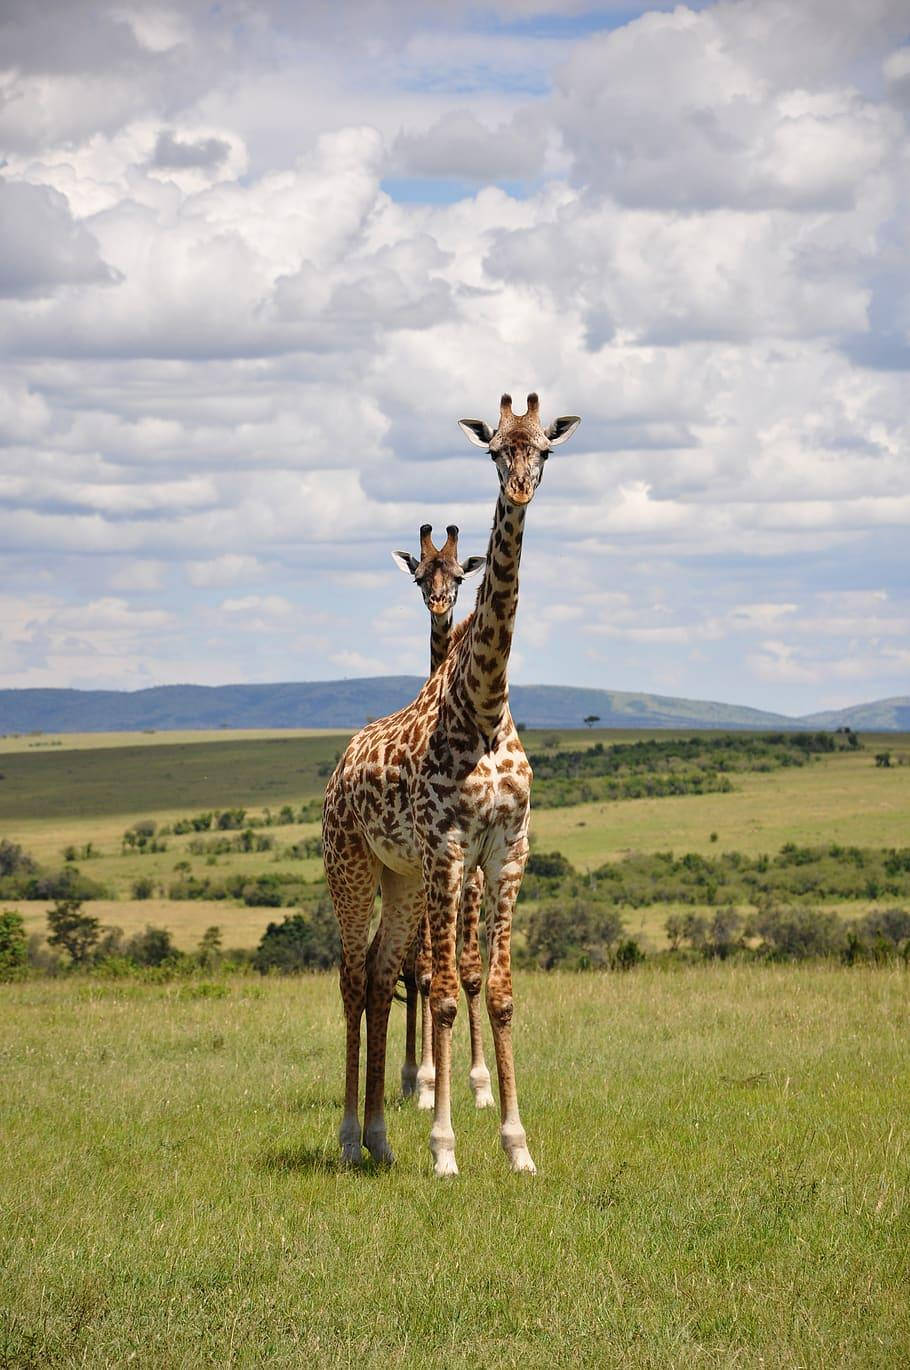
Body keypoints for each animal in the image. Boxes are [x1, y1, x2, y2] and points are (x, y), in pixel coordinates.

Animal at [323, 392, 580, 1176]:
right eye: (495, 449)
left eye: (544, 448)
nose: (520, 489)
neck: (485, 706)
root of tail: (338, 768)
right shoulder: (448, 848)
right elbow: (439, 991)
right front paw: (443, 1146)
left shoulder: (507, 849)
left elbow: (492, 989)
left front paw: (515, 1142)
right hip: (351, 864)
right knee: (354, 977)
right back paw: (350, 1134)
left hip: (402, 876)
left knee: (381, 975)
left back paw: (379, 1136)